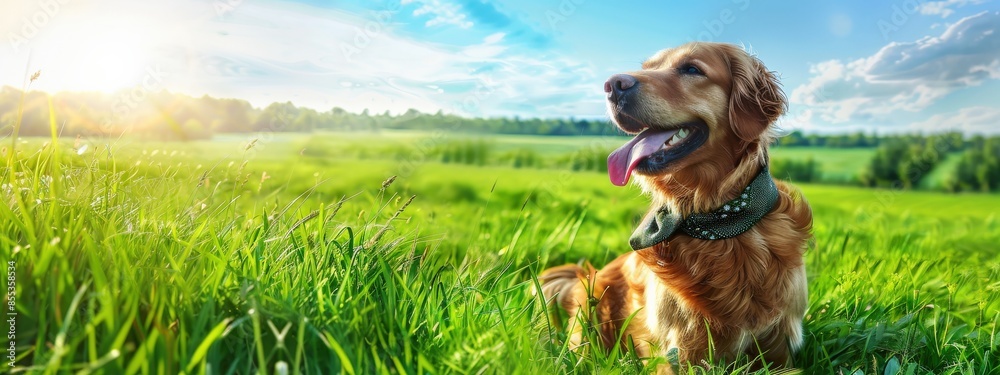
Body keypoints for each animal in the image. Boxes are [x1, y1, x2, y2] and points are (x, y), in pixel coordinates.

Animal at [540, 43, 812, 374]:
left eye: (692, 69)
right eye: (647, 67)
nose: (612, 84)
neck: (719, 223)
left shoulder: (780, 347)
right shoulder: (679, 350)